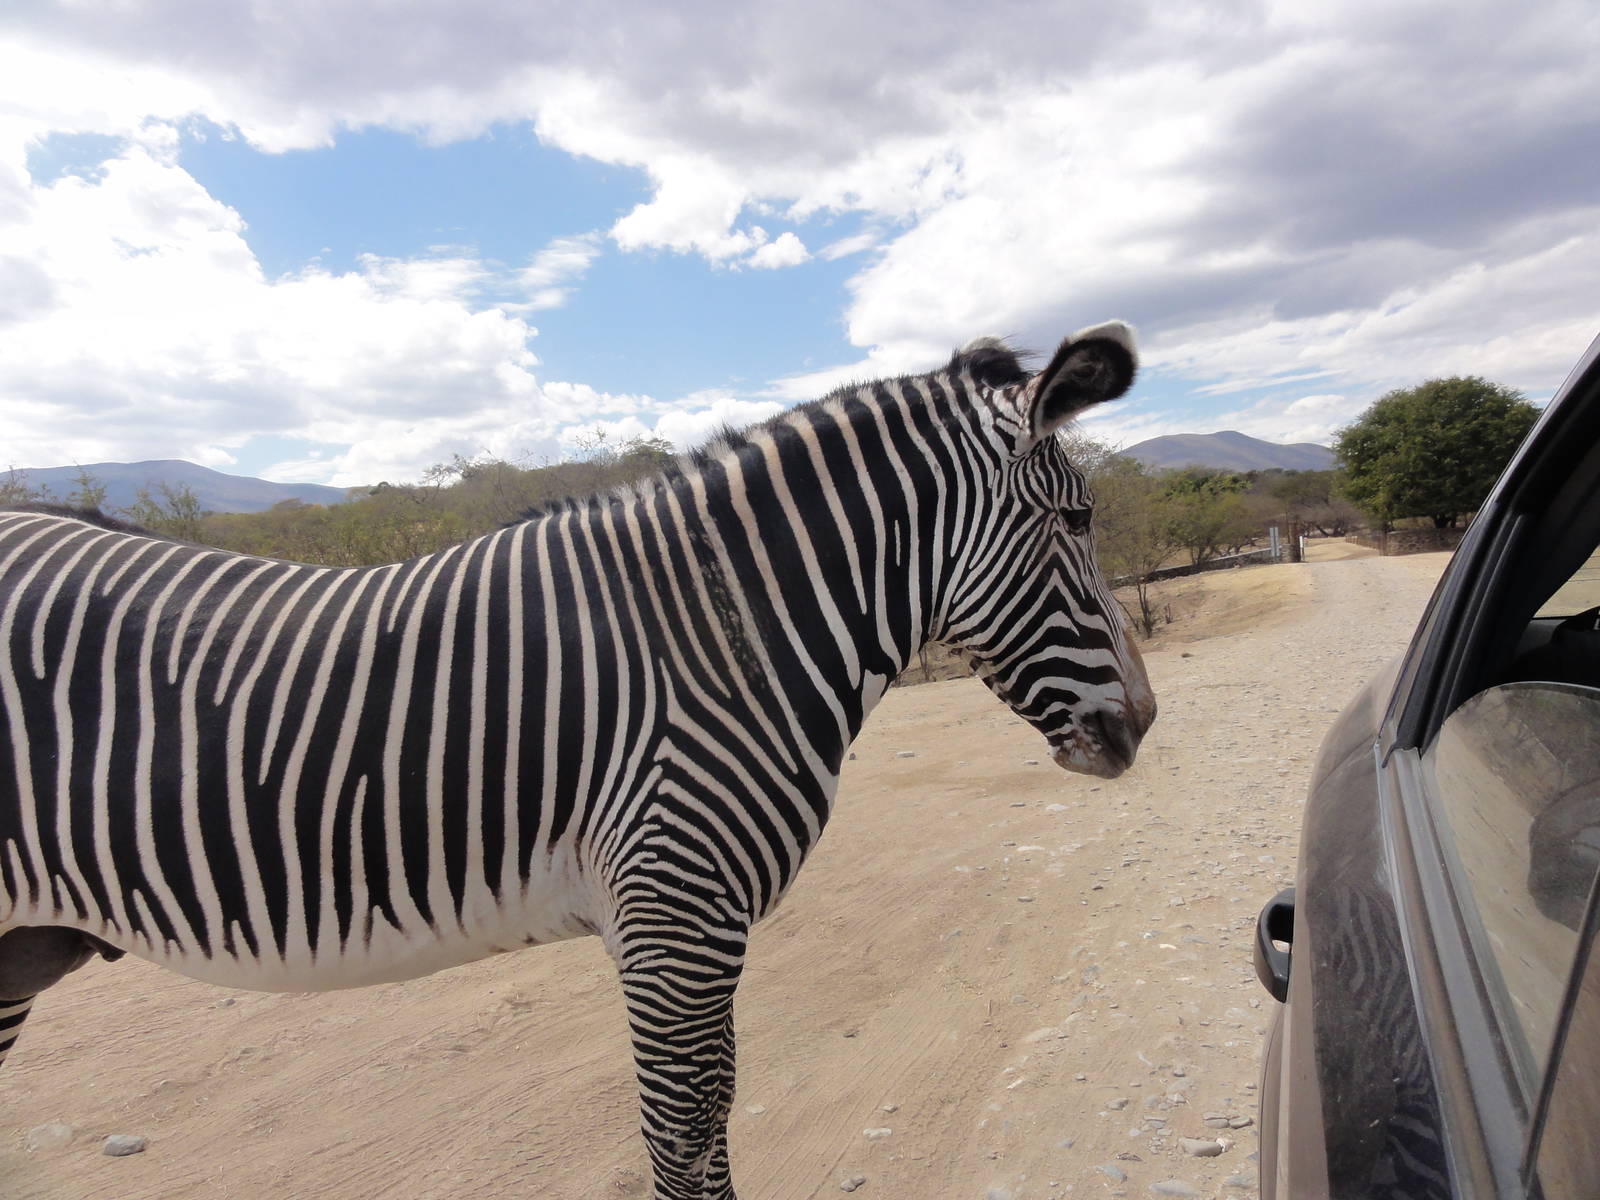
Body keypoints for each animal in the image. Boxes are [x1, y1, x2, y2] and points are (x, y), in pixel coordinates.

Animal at [0, 320, 1154, 1199]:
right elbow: (685, 1142)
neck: (713, 638)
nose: (1142, 723)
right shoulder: (675, 919)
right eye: (1076, 518)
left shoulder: (687, 930)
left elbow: (705, 1125)